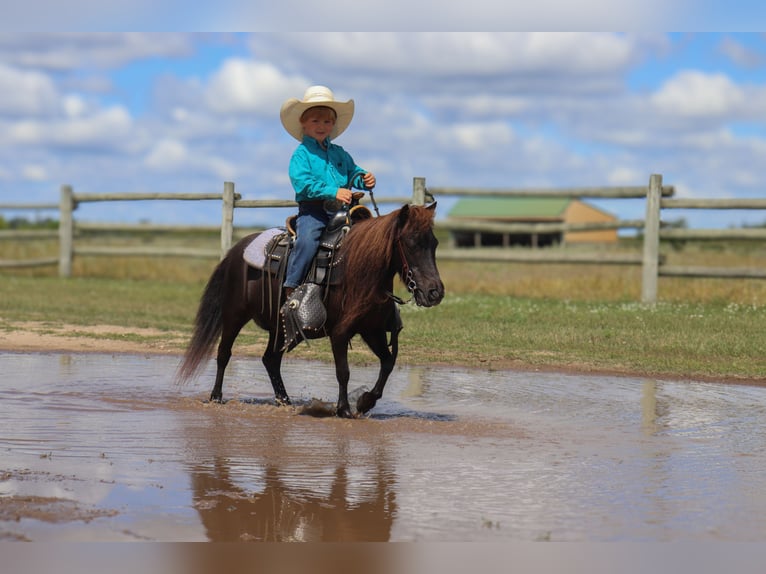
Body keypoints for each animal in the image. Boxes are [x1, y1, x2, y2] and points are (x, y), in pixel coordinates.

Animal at [177, 202, 448, 418]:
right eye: (410, 243)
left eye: (434, 243)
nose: (434, 292)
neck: (361, 272)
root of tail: (237, 249)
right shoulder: (340, 332)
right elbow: (343, 371)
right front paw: (344, 409)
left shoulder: (374, 331)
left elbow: (388, 363)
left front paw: (365, 402)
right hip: (234, 315)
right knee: (224, 353)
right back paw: (216, 397)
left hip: (280, 327)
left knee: (270, 359)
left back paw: (285, 401)